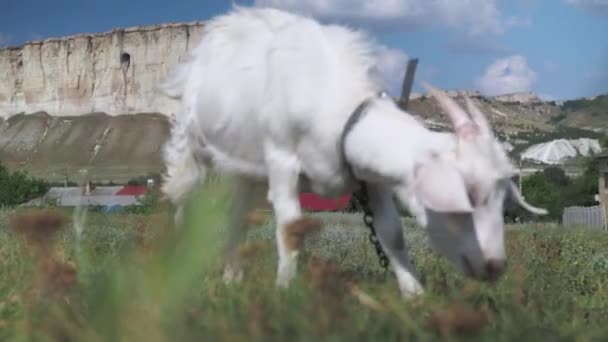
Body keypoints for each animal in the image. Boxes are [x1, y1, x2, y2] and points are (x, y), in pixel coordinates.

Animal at [158, 6, 548, 298]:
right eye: (464, 196)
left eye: (503, 200)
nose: (495, 266)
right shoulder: (282, 161)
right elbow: (290, 228)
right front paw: (285, 291)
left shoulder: (372, 178)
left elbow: (392, 234)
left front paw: (414, 294)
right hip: (191, 143)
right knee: (182, 199)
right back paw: (175, 268)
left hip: (246, 169)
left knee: (234, 216)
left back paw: (231, 278)